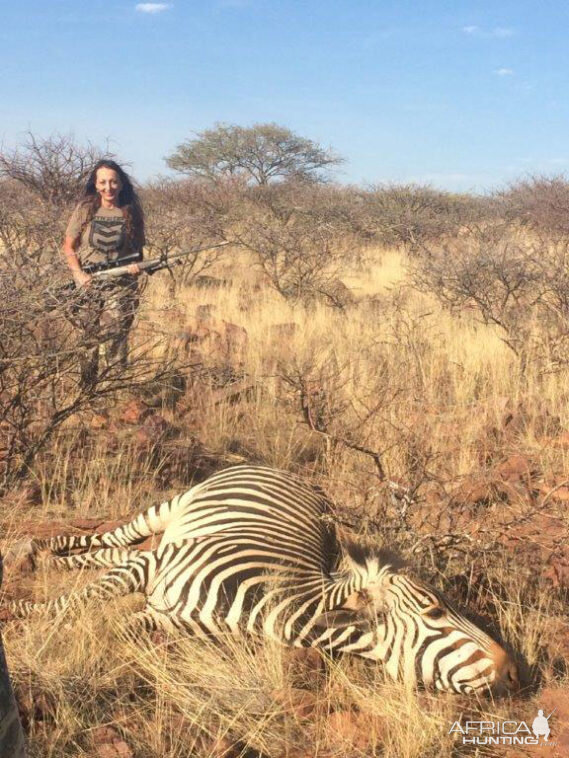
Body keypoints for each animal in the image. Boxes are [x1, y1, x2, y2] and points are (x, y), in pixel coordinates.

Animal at [4, 464, 520, 696]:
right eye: (436, 611)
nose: (517, 672)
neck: (264, 602)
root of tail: (286, 473)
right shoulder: (158, 566)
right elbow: (75, 604)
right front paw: (20, 613)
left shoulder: (173, 620)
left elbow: (121, 625)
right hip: (169, 513)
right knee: (114, 540)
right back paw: (39, 553)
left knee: (113, 552)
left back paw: (48, 562)